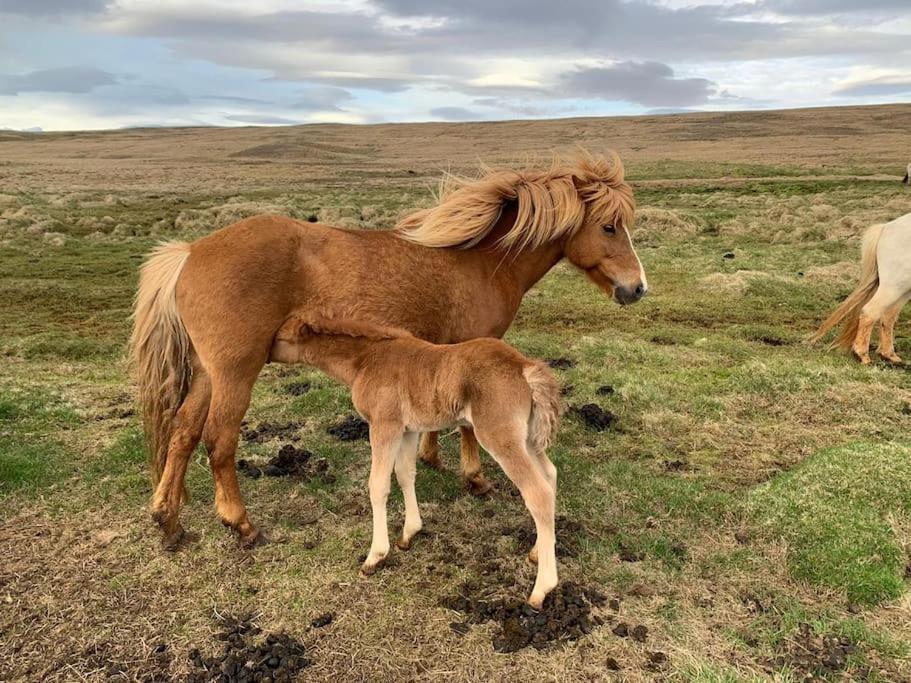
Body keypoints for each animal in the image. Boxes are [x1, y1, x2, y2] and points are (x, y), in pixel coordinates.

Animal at [132, 152, 648, 548]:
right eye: (609, 227)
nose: (637, 288)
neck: (480, 260)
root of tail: (190, 252)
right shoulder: (475, 347)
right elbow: (467, 427)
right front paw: (475, 478)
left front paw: (432, 458)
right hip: (236, 372)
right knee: (219, 441)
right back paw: (241, 525)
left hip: (206, 374)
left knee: (182, 434)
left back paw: (168, 521)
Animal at [270, 316, 564, 608]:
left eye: (281, 337)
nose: (267, 355)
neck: (367, 360)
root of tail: (525, 367)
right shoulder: (409, 430)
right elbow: (404, 473)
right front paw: (409, 533)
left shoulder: (384, 426)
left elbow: (378, 485)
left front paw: (375, 556)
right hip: (527, 437)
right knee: (549, 475)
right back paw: (537, 552)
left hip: (500, 436)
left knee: (537, 493)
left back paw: (541, 588)